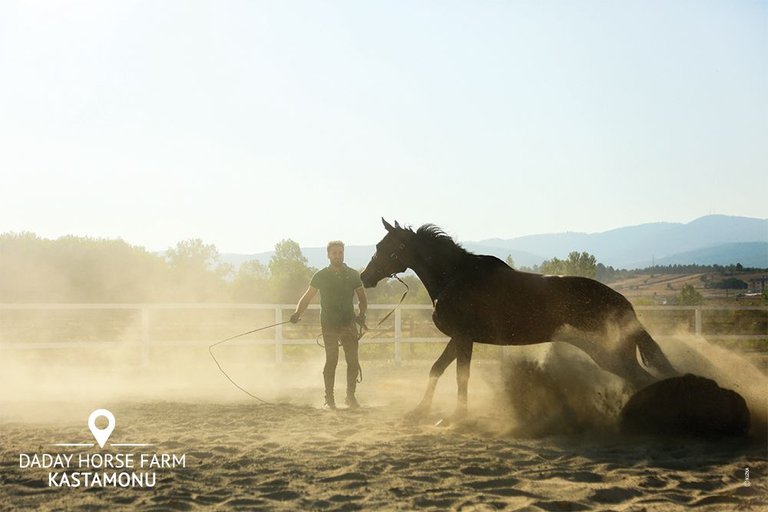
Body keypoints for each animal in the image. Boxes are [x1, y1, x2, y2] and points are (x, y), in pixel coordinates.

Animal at [360, 220, 680, 424]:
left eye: (385, 247)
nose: (365, 277)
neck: (455, 277)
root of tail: (623, 303)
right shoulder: (460, 338)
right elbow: (436, 369)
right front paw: (419, 411)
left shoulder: (464, 338)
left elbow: (460, 376)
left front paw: (458, 416)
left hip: (610, 353)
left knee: (642, 378)